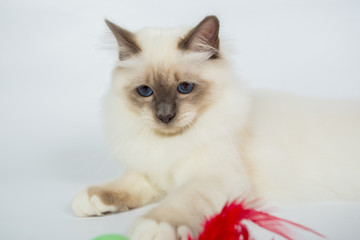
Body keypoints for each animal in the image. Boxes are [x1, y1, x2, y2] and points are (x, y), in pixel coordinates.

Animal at [71, 15, 360, 239]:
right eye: (145, 91)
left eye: (185, 88)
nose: (165, 116)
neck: (170, 143)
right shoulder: (155, 173)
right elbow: (127, 184)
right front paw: (93, 199)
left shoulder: (212, 177)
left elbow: (181, 201)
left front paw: (154, 227)